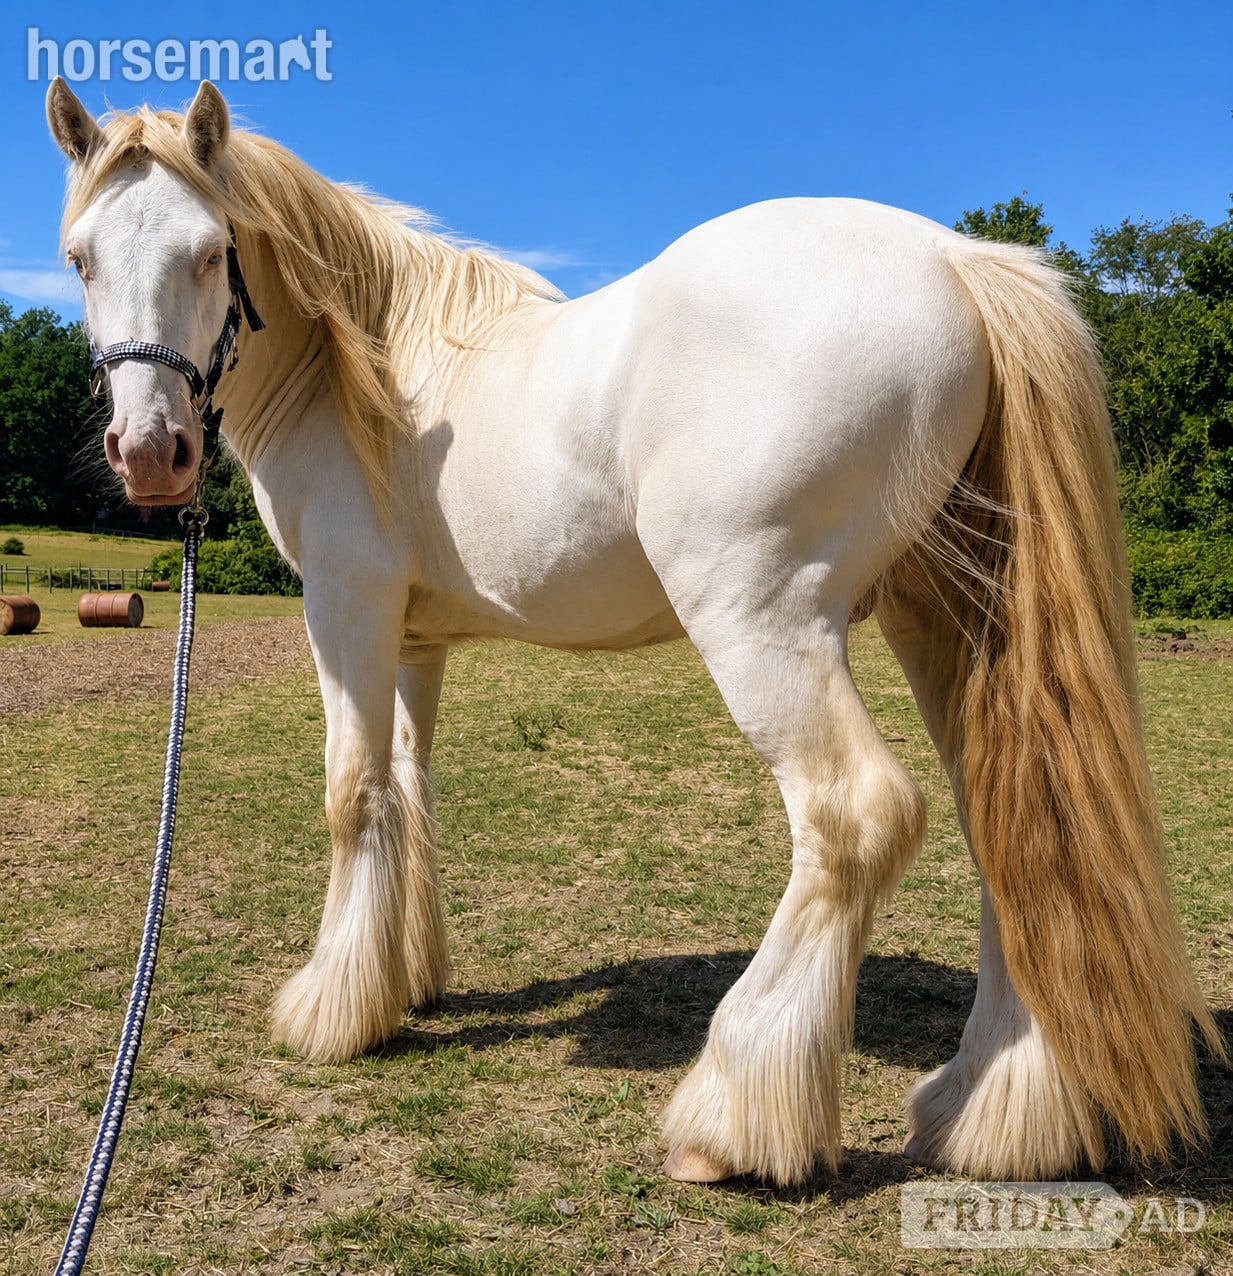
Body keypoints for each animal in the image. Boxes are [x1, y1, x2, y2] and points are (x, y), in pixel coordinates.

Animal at [47, 77, 1220, 1187]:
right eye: (80, 258)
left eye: (211, 252)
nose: (150, 453)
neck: (364, 369)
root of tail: (957, 258)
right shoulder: (416, 641)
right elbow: (411, 788)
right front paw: (406, 981)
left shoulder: (346, 609)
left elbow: (352, 792)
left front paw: (329, 1012)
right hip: (946, 621)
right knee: (1010, 824)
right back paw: (992, 1114)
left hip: (762, 620)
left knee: (857, 818)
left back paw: (732, 1119)